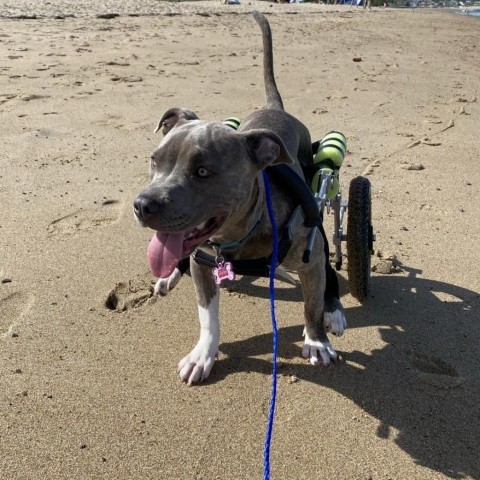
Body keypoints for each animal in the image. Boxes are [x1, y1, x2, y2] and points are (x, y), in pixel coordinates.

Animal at [133, 10, 346, 386]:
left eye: (203, 171)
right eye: (154, 160)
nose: (143, 205)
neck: (242, 232)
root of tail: (276, 109)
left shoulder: (311, 260)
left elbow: (311, 305)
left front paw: (317, 340)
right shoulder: (202, 265)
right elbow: (208, 318)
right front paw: (203, 355)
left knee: (328, 274)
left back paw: (334, 312)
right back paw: (169, 276)